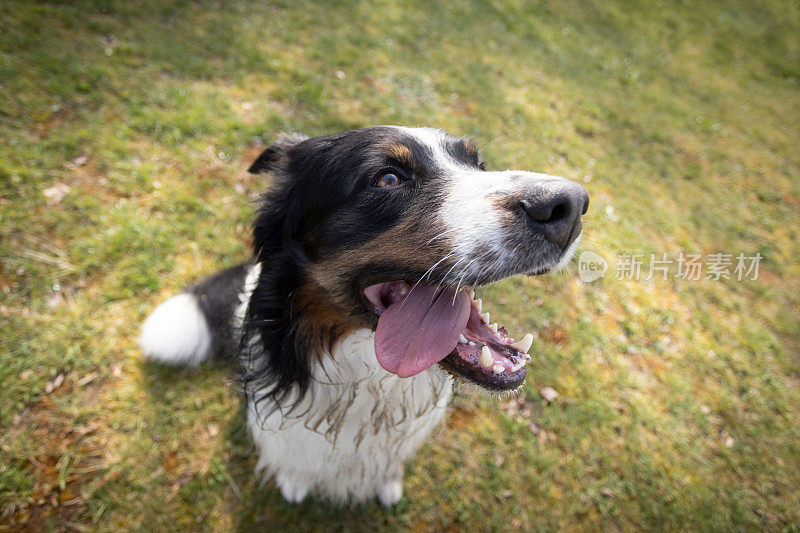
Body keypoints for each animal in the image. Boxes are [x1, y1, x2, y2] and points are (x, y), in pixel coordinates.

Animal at [139, 127, 588, 504]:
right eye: (387, 180)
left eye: (479, 166)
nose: (571, 205)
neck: (367, 366)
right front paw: (294, 482)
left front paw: (386, 483)